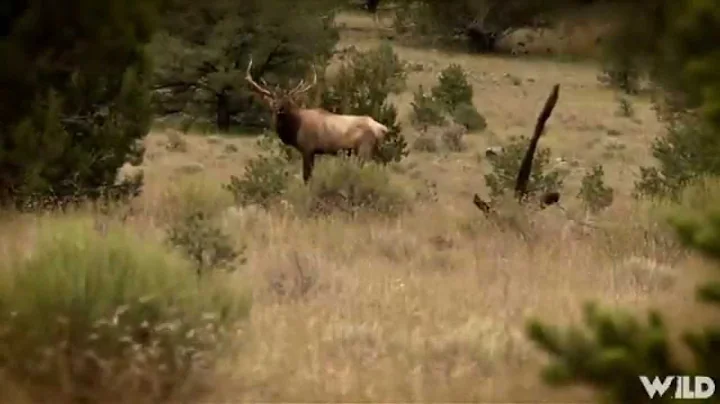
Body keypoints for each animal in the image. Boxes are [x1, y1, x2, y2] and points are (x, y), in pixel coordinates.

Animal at [244, 58, 390, 183]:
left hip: (364, 149)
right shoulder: (314, 151)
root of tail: (382, 129)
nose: (279, 109)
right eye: (273, 101)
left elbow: (306, 176)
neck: (294, 129)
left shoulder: (307, 148)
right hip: (373, 151)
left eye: (287, 102)